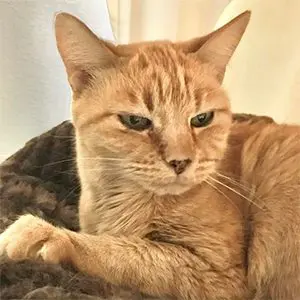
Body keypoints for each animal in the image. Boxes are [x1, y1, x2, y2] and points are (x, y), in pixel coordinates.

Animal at [0, 9, 298, 300]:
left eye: (201, 119)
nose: (181, 161)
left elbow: (126, 253)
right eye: (135, 121)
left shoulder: (218, 274)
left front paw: (46, 235)